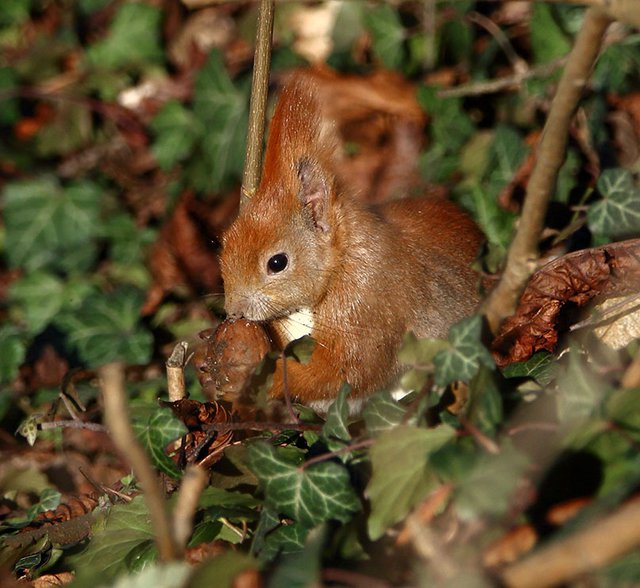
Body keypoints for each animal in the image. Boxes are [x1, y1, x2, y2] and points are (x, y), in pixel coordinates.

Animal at [218, 74, 482, 414]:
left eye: (277, 263)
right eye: (225, 243)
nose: (232, 311)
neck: (342, 258)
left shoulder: (365, 305)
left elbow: (342, 370)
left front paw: (253, 379)